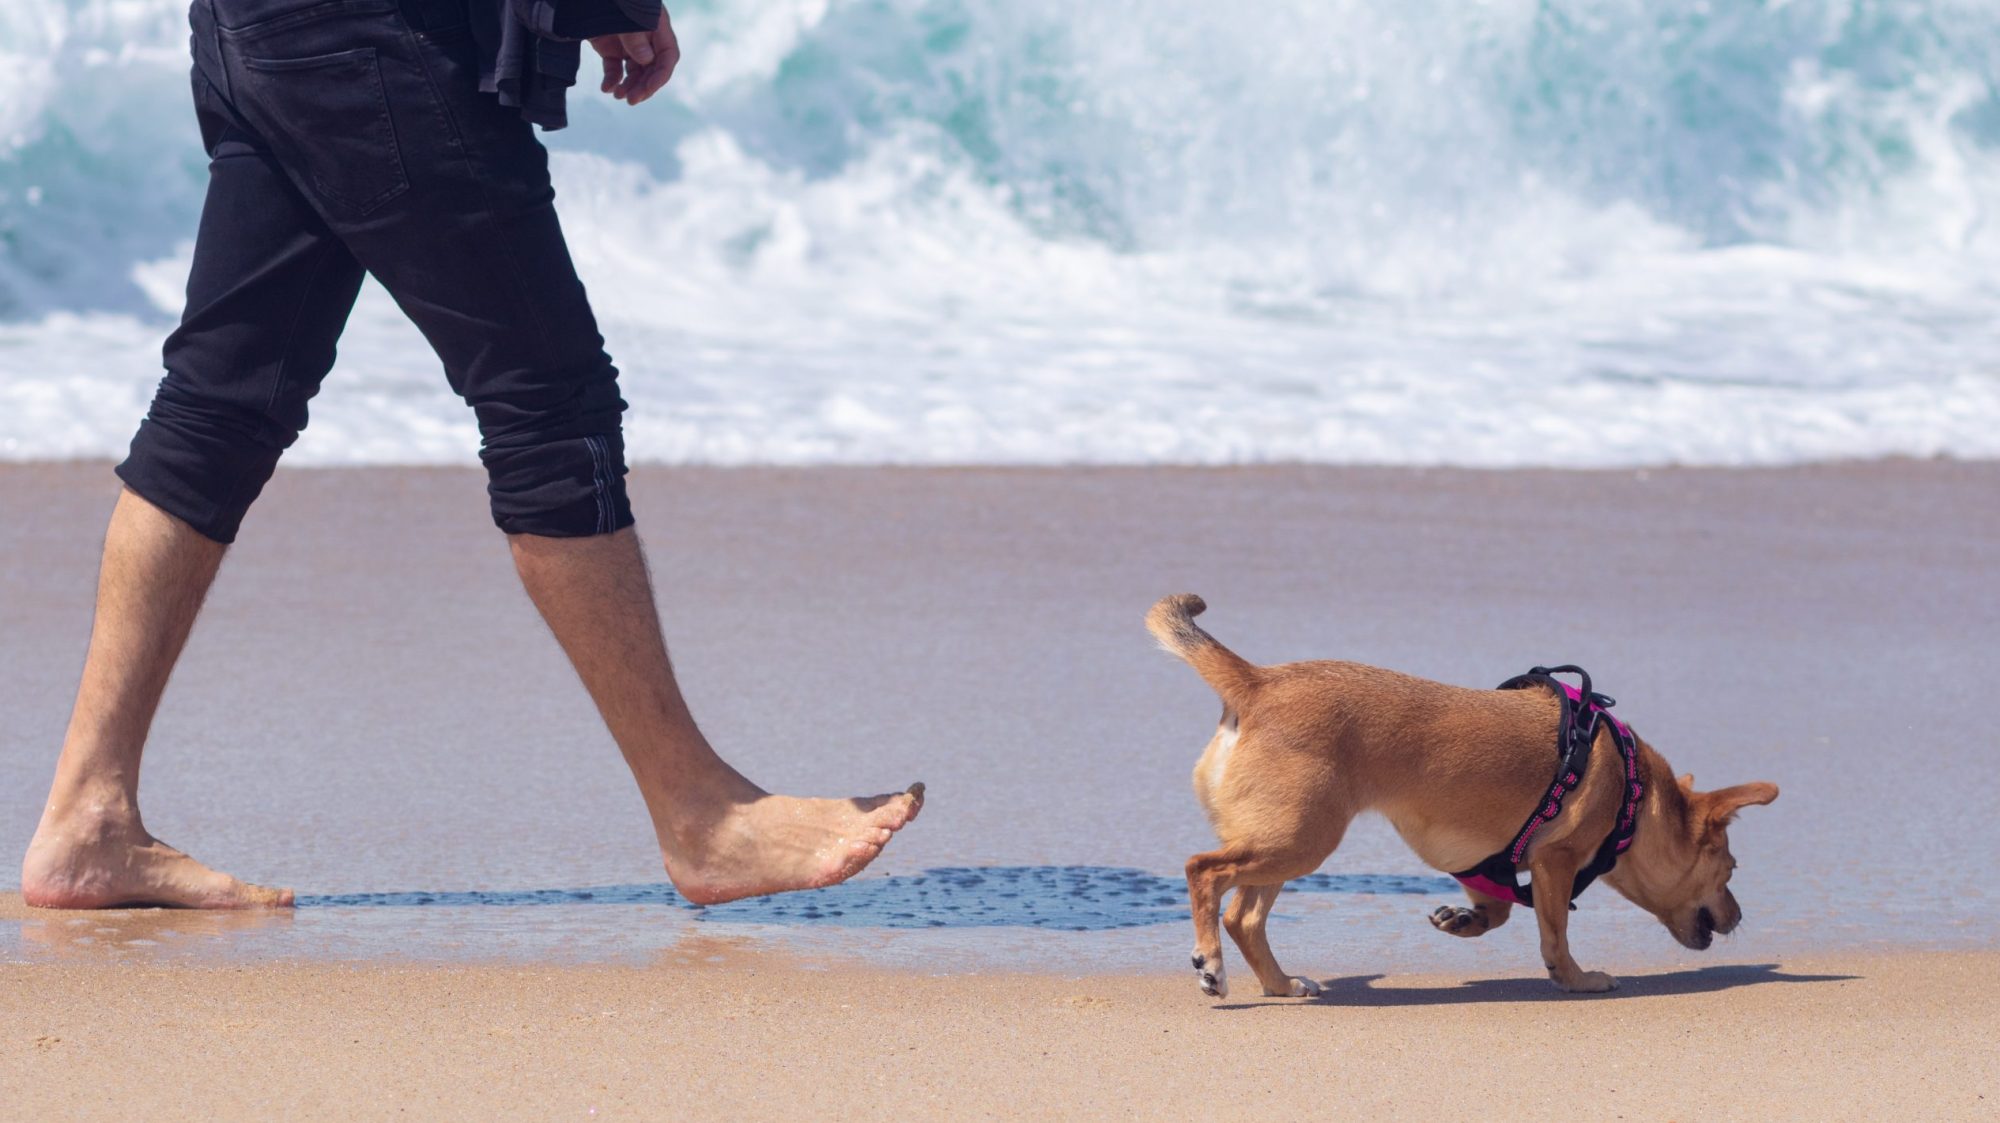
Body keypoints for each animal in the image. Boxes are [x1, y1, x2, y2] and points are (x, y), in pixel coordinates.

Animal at [1152, 591, 1792, 991]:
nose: (1739, 916)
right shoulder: (1556, 862)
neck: (1634, 796)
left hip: (1286, 842)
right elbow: (1555, 935)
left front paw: (1464, 921)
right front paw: (1577, 980)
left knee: (1245, 918)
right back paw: (1212, 963)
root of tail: (1258, 682)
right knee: (1204, 871)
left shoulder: (1484, 863)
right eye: (1730, 872)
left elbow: (1500, 911)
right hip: (1297, 840)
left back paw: (1281, 986)